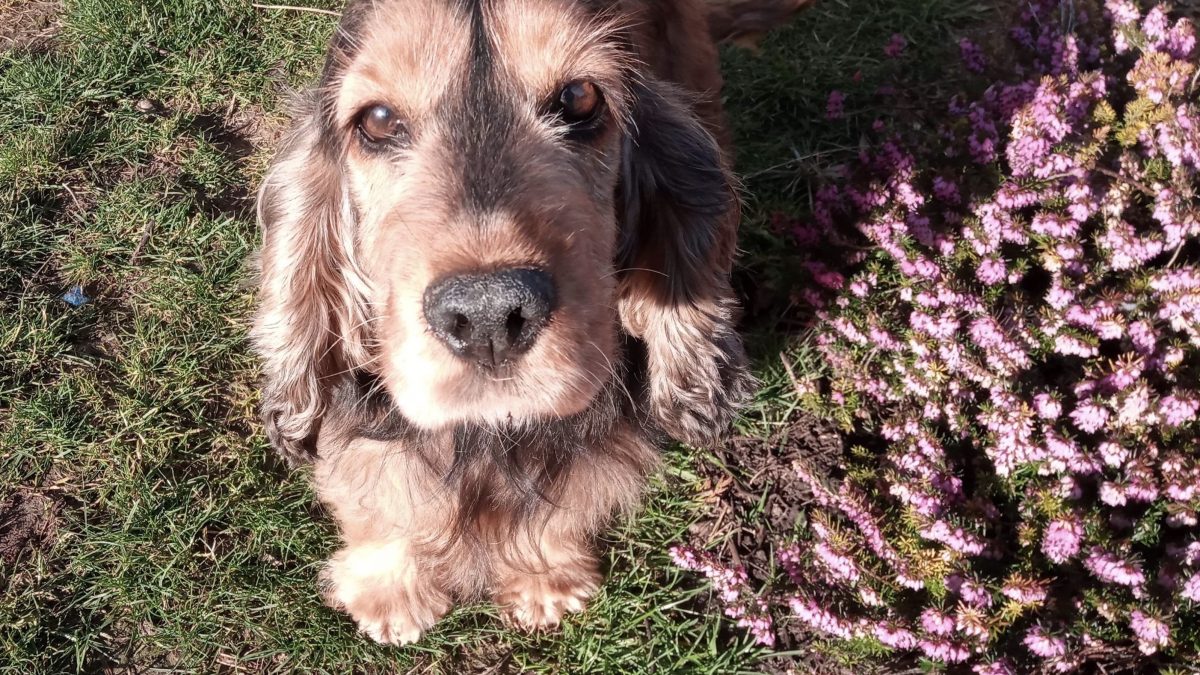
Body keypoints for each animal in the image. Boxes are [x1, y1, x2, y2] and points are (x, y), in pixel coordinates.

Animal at [248, 0, 801, 638]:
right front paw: (390, 593)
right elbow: (375, 495)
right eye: (379, 120)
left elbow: (563, 509)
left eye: (581, 98)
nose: (488, 313)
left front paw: (545, 581)